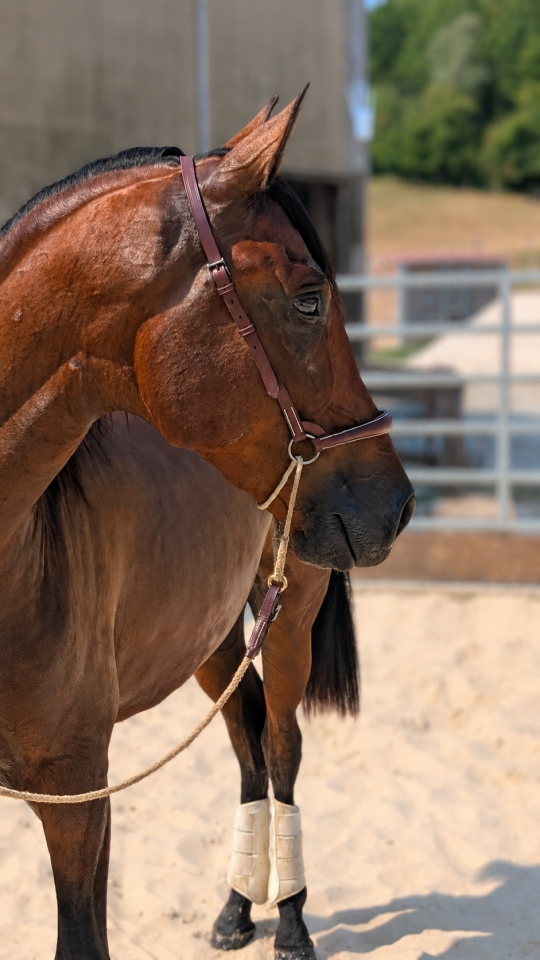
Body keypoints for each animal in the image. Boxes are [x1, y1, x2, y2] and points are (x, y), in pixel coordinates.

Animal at [0, 90, 415, 960]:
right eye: (309, 298)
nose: (396, 504)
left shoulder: (76, 792)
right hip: (213, 635)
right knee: (246, 735)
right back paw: (234, 907)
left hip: (289, 618)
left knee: (282, 743)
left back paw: (289, 919)